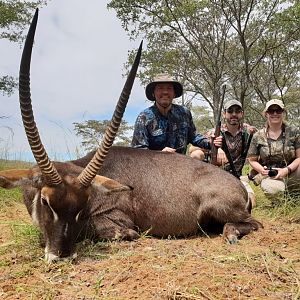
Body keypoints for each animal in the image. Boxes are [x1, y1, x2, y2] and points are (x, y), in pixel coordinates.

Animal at [0, 8, 262, 262]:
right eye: (45, 201)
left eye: (82, 204)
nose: (61, 255)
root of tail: (238, 185)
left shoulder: (120, 222)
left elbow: (112, 231)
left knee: (254, 223)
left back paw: (230, 233)